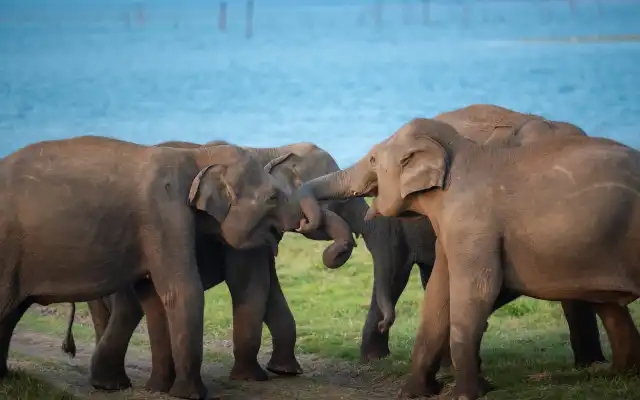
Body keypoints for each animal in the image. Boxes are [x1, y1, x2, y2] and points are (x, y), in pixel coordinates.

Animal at [0, 135, 332, 400]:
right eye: (273, 197)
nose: (303, 221)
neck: (200, 157)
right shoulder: (164, 212)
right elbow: (188, 290)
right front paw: (193, 394)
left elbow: (157, 296)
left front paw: (160, 389)